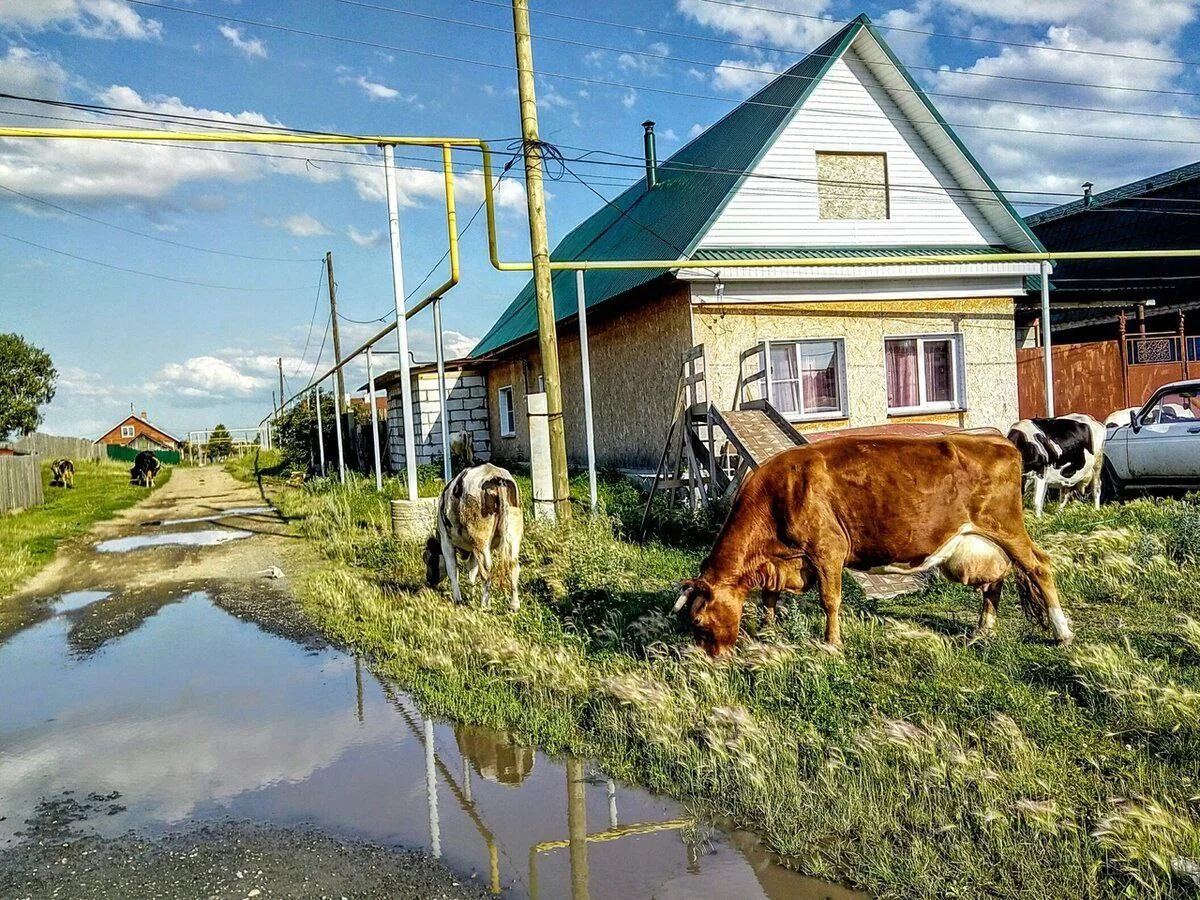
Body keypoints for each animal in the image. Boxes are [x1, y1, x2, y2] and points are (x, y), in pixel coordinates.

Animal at [424, 463, 523, 611]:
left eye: (427, 559)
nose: (428, 581)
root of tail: (494, 474)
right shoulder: (472, 549)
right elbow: (472, 571)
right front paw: (472, 594)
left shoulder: (446, 542)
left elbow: (453, 570)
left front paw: (458, 599)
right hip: (512, 534)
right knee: (513, 566)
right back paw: (514, 605)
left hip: (480, 539)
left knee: (486, 570)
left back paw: (485, 606)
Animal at [673, 433, 1073, 657]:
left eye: (697, 620)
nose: (708, 659)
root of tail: (998, 440)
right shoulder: (782, 561)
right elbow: (769, 598)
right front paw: (767, 632)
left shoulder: (827, 548)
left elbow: (830, 600)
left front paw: (832, 644)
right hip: (982, 541)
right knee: (995, 581)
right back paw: (981, 631)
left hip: (1006, 528)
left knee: (1039, 567)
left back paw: (1062, 632)